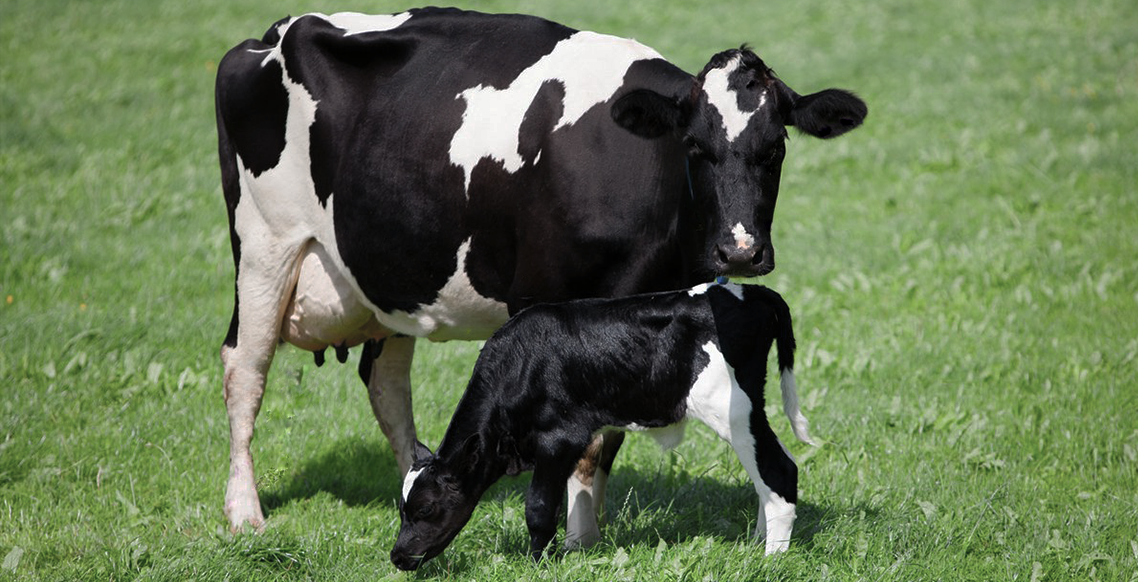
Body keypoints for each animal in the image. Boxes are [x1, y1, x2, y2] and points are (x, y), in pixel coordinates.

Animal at [390, 282, 814, 569]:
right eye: (402, 509)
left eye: (425, 509)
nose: (396, 556)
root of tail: (750, 290)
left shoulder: (557, 439)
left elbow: (539, 507)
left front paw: (538, 564)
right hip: (750, 410)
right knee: (771, 470)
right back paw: (757, 543)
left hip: (732, 409)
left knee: (779, 470)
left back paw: (771, 559)